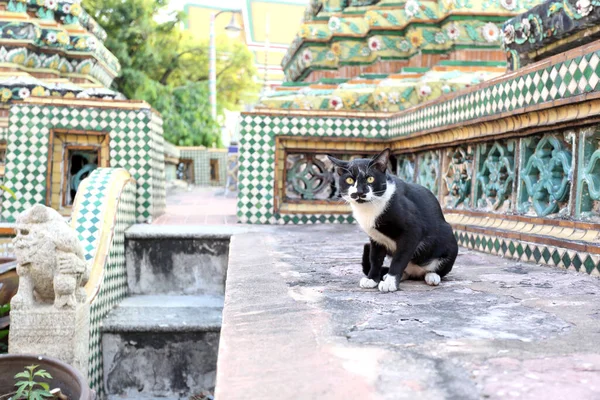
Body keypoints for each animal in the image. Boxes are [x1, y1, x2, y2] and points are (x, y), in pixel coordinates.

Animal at [326, 148, 458, 292]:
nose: (360, 192)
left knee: (438, 269)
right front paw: (372, 279)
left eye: (370, 178)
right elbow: (375, 258)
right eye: (350, 180)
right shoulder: (376, 238)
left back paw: (432, 276)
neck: (370, 208)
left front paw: (390, 282)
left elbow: (399, 258)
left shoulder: (412, 231)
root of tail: (415, 272)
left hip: (449, 239)